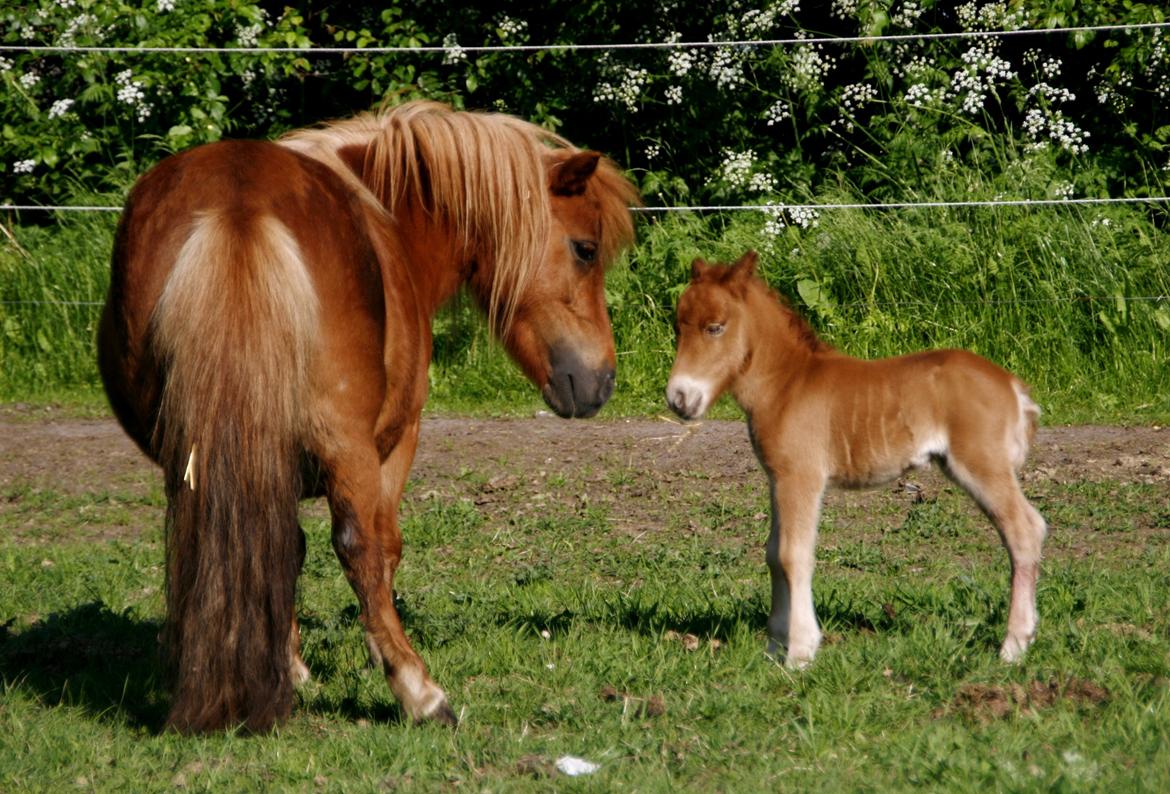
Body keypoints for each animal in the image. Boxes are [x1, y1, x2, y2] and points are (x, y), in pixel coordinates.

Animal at [98, 102, 641, 734]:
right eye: (585, 249)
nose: (603, 380)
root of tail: (237, 204)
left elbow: (285, 546)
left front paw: (291, 664)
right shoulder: (396, 441)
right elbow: (383, 549)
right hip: (349, 448)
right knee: (357, 546)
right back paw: (419, 692)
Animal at [669, 252, 1053, 668]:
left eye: (715, 327)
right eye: (677, 326)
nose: (678, 399)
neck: (787, 383)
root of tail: (1013, 387)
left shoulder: (801, 477)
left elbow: (793, 554)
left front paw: (800, 652)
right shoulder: (777, 478)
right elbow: (773, 553)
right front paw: (774, 647)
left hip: (982, 466)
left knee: (1024, 530)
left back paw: (1013, 646)